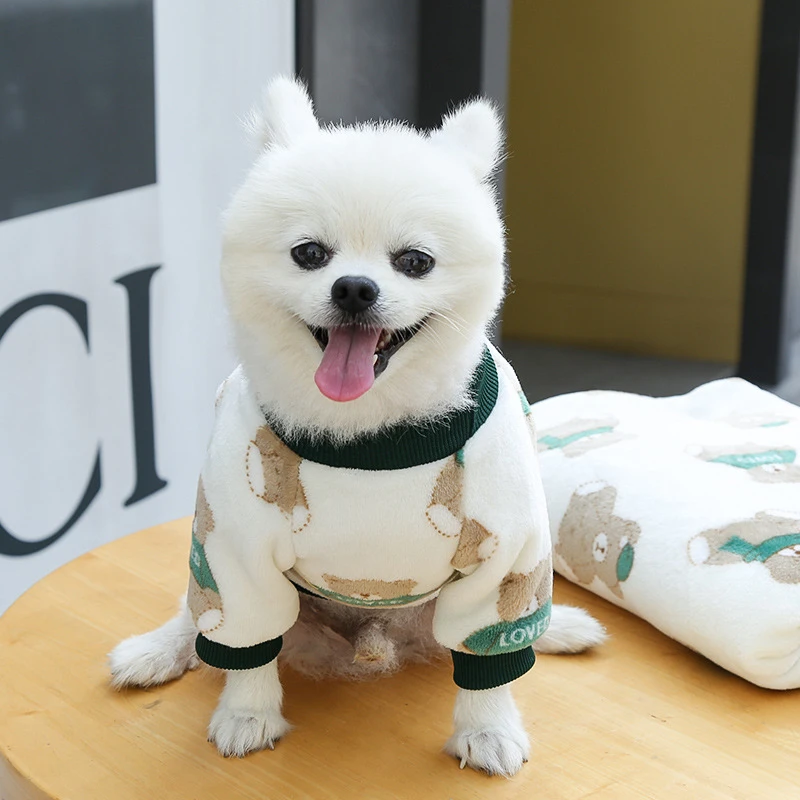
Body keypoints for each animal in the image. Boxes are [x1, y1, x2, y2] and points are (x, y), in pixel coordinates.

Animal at [109, 77, 606, 777]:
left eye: (416, 261)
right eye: (309, 254)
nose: (353, 288)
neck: (368, 431)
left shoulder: (504, 551)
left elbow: (491, 653)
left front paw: (488, 729)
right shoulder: (233, 545)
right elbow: (243, 639)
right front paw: (247, 714)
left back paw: (561, 626)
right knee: (195, 612)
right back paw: (155, 651)